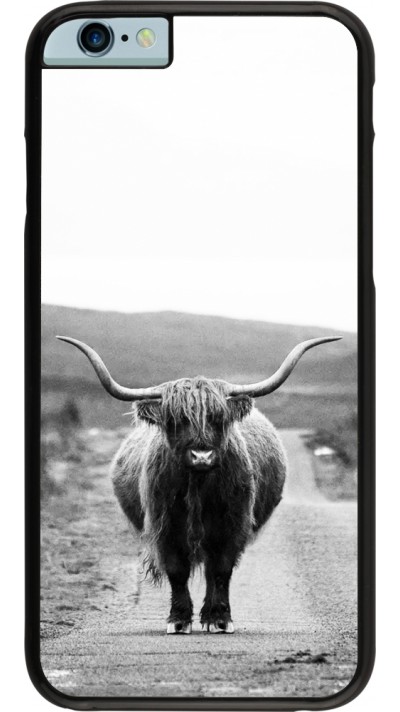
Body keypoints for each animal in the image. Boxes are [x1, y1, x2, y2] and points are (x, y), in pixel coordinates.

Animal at [57, 334, 340, 634]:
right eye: (176, 420)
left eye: (218, 418)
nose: (201, 455)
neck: (198, 486)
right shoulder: (165, 526)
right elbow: (177, 571)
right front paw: (178, 619)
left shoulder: (232, 525)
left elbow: (221, 570)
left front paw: (219, 618)